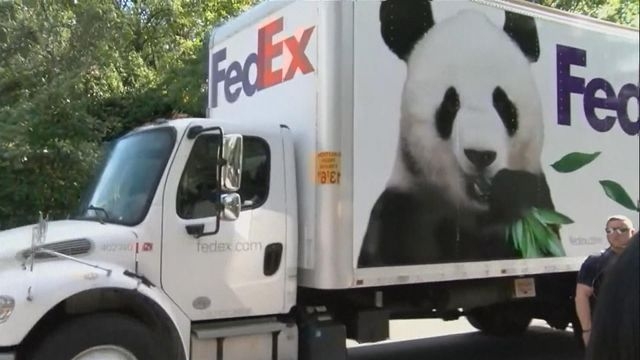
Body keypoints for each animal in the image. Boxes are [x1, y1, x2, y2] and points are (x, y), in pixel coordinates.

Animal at [358, 0, 556, 268]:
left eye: (502, 104)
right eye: (451, 103)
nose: (480, 154)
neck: (475, 212)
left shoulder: (540, 203)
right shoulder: (402, 211)